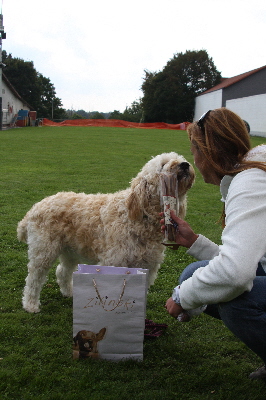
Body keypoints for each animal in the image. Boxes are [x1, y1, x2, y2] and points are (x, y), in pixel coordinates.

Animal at [17, 153, 194, 312]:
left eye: (180, 158)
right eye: (163, 165)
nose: (185, 165)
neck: (140, 217)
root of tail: (34, 208)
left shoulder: (147, 267)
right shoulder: (115, 261)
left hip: (70, 251)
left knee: (62, 271)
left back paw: (70, 292)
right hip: (44, 251)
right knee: (34, 279)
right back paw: (31, 305)